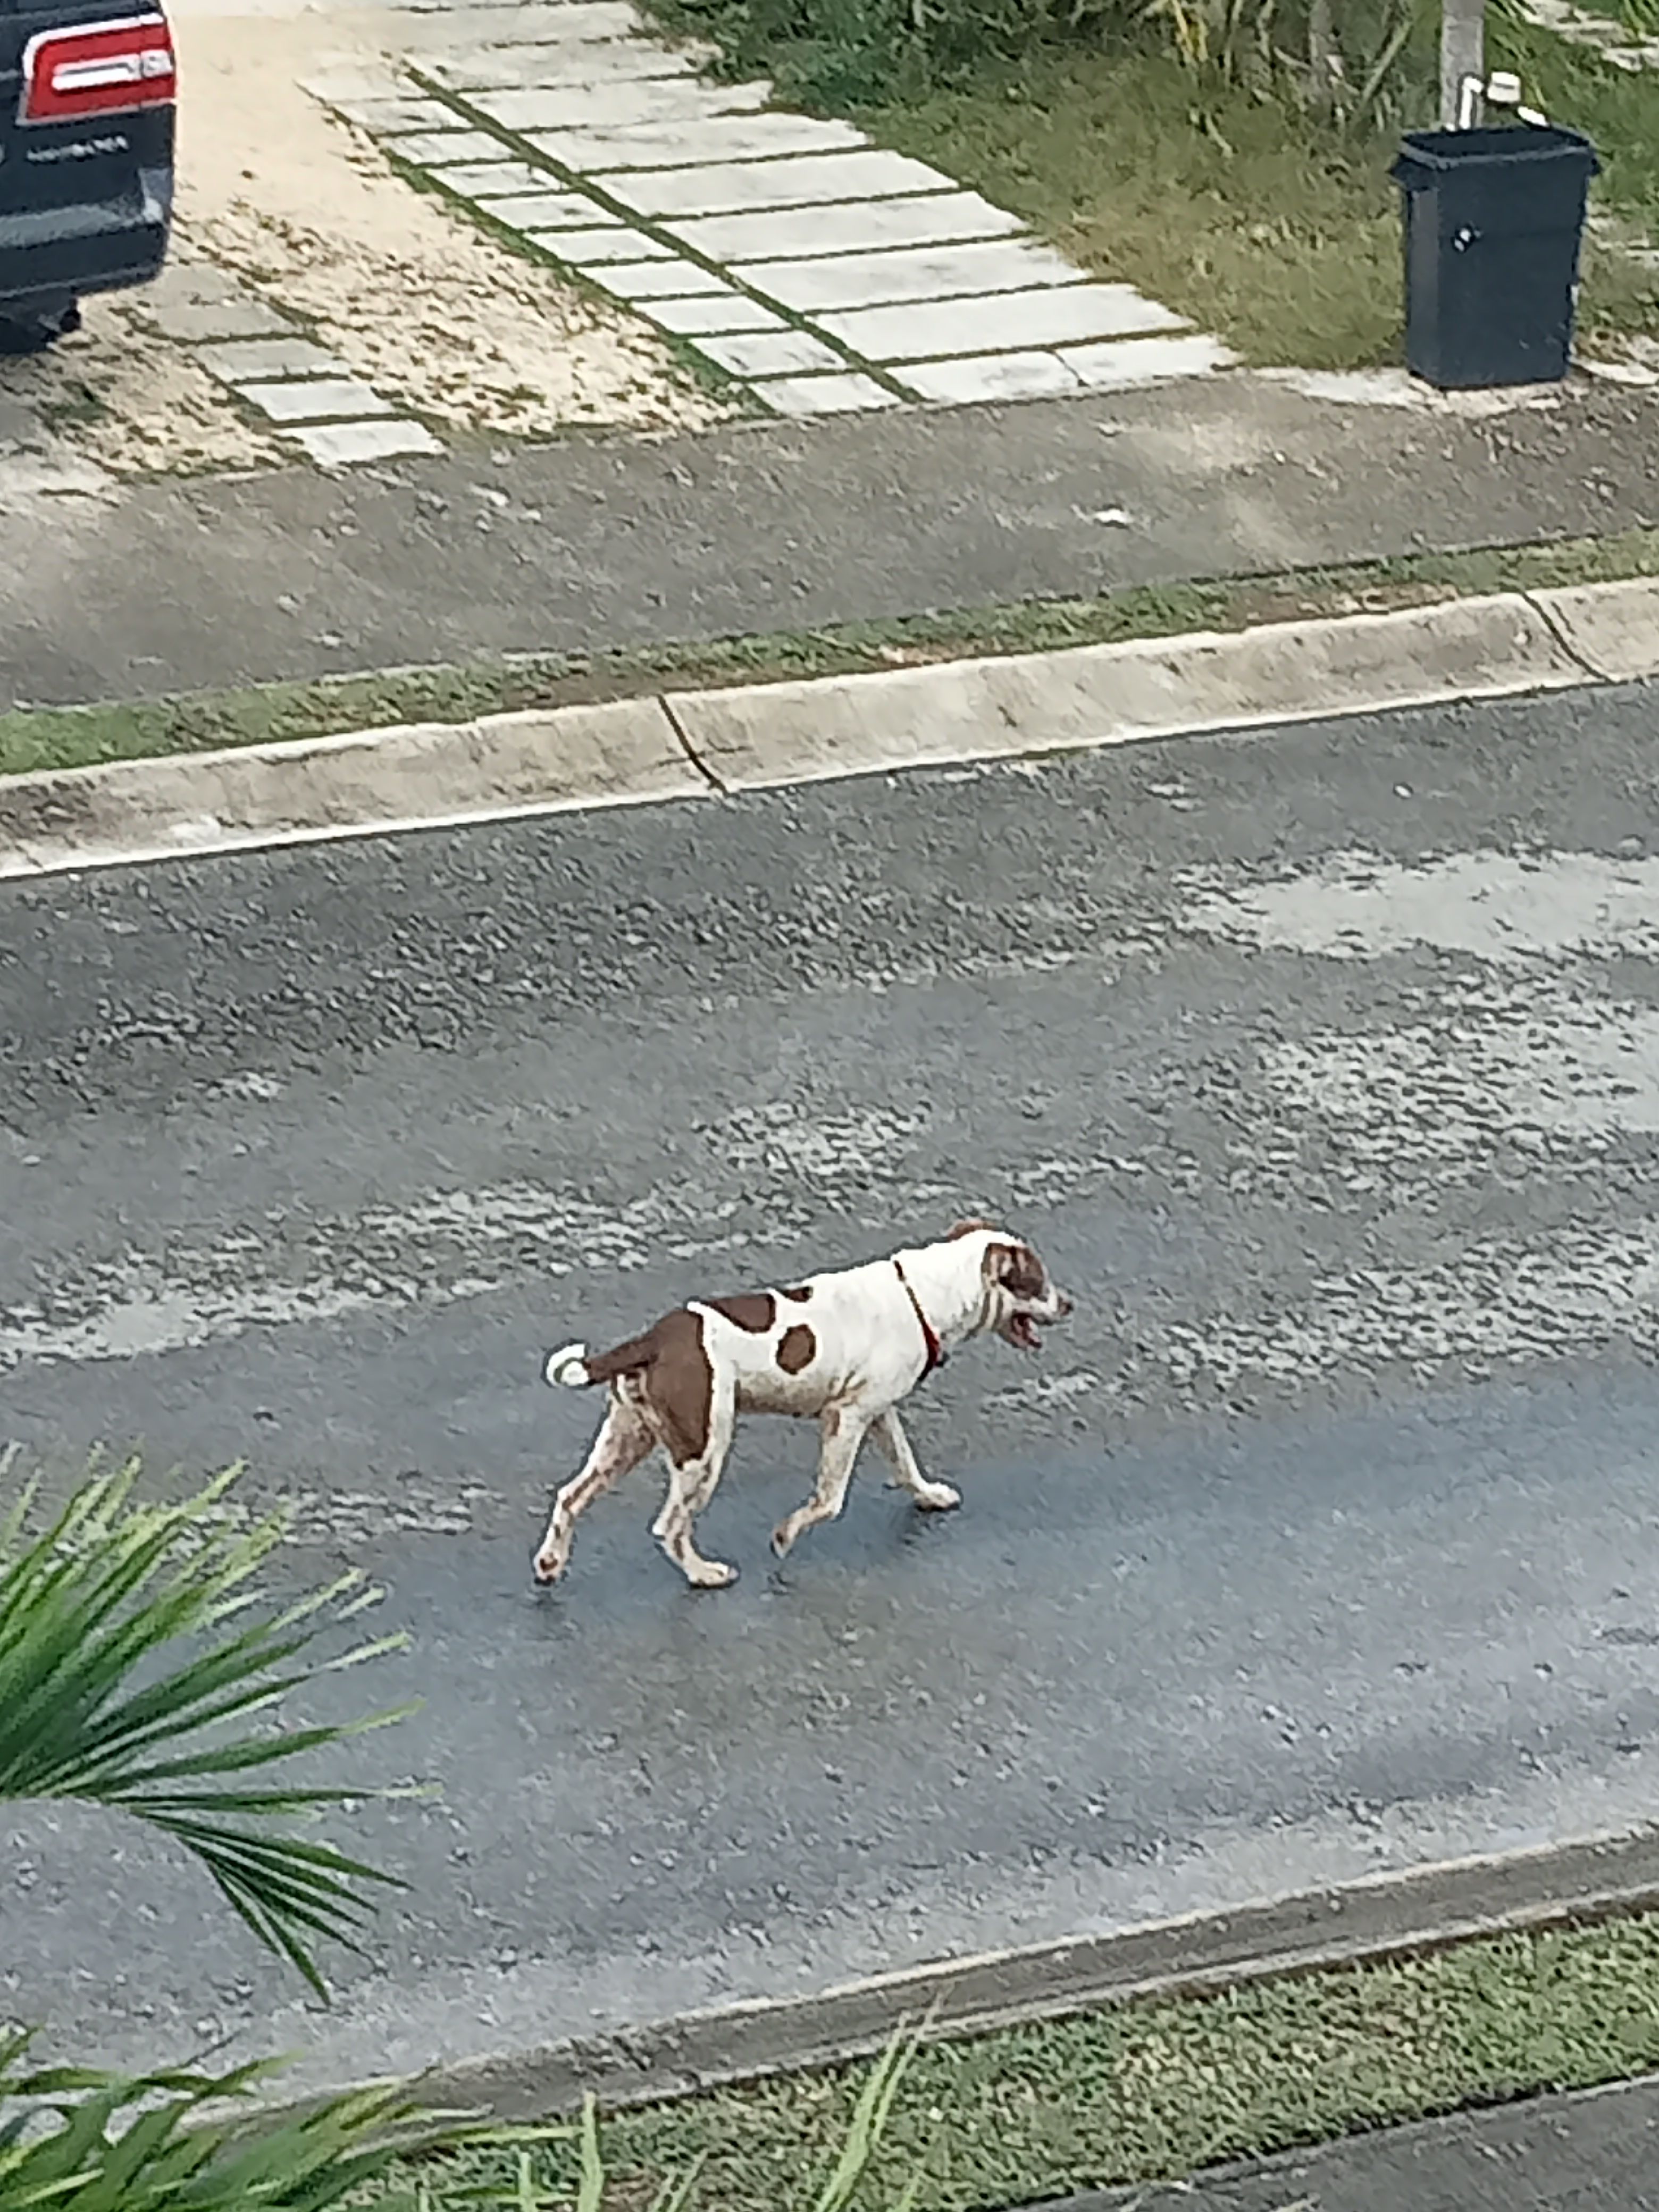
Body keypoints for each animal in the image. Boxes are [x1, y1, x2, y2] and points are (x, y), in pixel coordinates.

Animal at [535, 1229, 1079, 1593]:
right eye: (1036, 1281)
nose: (1071, 1304)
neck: (922, 1296)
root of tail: (653, 1339)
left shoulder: (879, 1412)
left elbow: (906, 1464)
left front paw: (928, 1496)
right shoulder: (846, 1418)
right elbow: (829, 1500)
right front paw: (785, 1535)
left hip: (627, 1440)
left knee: (570, 1496)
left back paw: (549, 1563)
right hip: (703, 1448)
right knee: (669, 1526)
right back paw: (703, 1574)